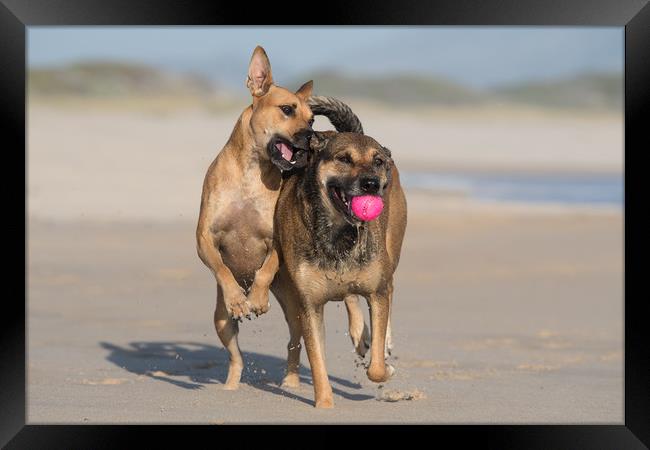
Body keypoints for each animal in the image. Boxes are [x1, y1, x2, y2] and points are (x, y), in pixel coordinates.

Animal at [195, 46, 370, 390]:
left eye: (312, 118)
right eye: (287, 109)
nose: (312, 136)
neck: (251, 170)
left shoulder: (276, 239)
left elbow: (265, 269)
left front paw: (258, 298)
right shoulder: (204, 238)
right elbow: (220, 267)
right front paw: (239, 298)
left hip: (296, 305)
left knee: (299, 339)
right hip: (221, 320)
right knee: (236, 353)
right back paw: (232, 384)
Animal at [270, 131, 404, 408]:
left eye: (378, 161)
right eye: (344, 158)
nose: (371, 184)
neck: (339, 232)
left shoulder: (376, 292)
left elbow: (376, 367)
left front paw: (385, 364)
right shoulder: (309, 304)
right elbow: (317, 360)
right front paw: (324, 404)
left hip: (391, 251)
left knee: (388, 290)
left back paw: (382, 340)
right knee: (349, 296)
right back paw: (360, 334)